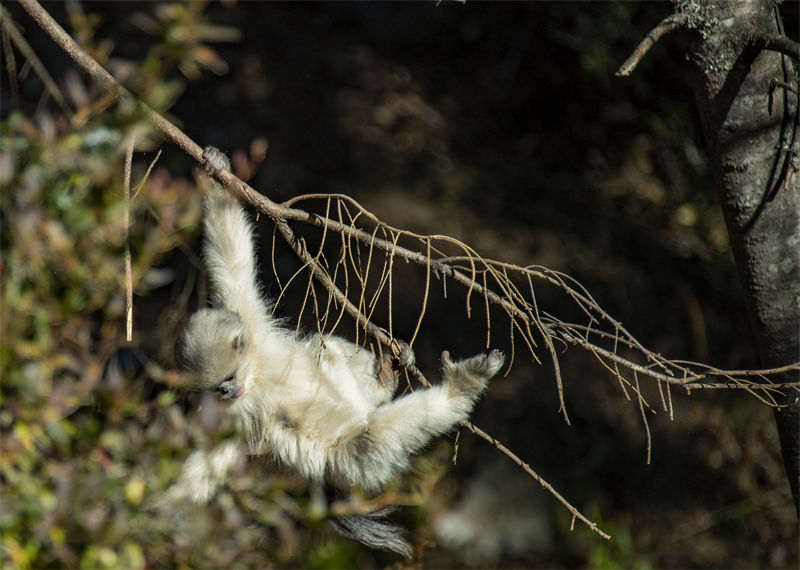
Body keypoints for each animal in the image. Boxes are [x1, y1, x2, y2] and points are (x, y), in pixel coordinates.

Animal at [169, 145, 504, 556]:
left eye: (228, 379)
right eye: (218, 389)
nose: (230, 391)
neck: (255, 375)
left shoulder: (247, 318)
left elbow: (229, 257)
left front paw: (216, 176)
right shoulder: (225, 418)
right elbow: (203, 469)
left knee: (326, 351)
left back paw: (386, 381)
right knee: (369, 438)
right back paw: (459, 388)